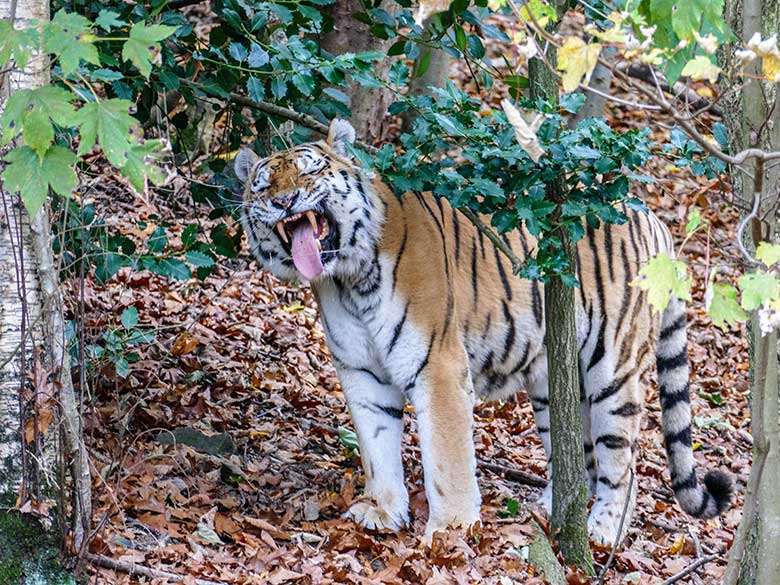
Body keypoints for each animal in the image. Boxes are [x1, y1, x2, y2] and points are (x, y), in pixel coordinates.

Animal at [235, 116, 736, 544]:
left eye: (310, 170)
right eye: (263, 185)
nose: (283, 202)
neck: (348, 278)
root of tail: (652, 219)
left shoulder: (438, 365)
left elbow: (447, 458)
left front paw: (450, 530)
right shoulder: (362, 372)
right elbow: (377, 446)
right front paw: (382, 511)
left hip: (613, 368)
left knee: (624, 465)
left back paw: (602, 532)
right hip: (556, 381)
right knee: (577, 455)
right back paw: (553, 513)